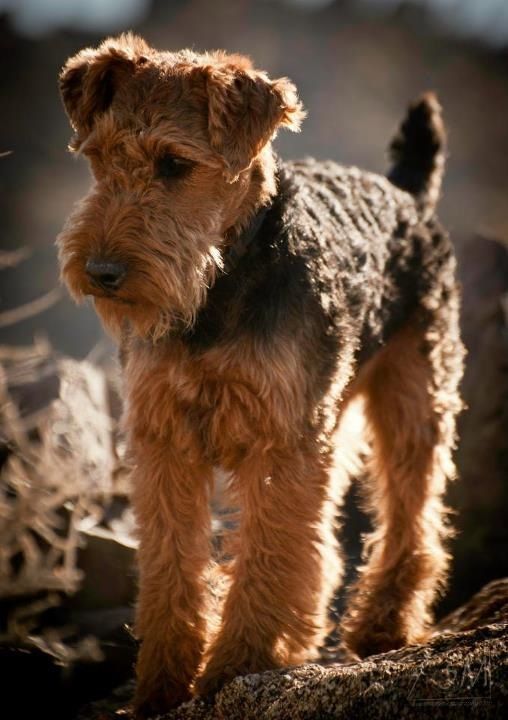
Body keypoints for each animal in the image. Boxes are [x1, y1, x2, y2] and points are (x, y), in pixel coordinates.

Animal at [56, 35, 464, 720]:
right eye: (102, 157)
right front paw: (162, 686)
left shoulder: (281, 440)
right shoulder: (163, 437)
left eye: (174, 164)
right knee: (330, 546)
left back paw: (381, 624)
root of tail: (405, 194)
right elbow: (173, 565)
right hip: (336, 417)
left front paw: (237, 668)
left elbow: (269, 556)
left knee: (411, 515)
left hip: (413, 396)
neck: (219, 285)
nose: (102, 272)